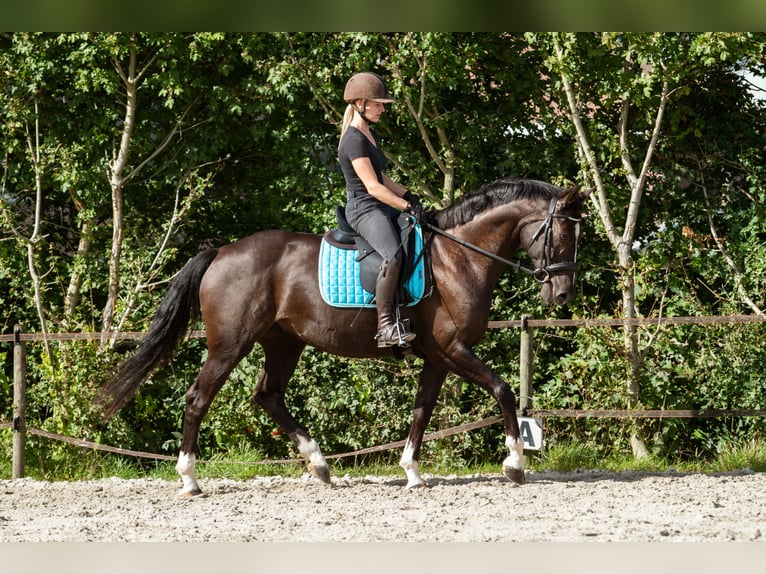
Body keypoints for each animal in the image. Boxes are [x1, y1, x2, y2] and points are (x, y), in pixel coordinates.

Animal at [102, 178, 592, 498]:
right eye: (562, 233)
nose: (563, 294)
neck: (459, 257)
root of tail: (222, 251)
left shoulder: (437, 357)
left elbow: (422, 410)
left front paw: (412, 472)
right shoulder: (454, 350)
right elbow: (504, 390)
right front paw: (515, 462)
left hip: (284, 342)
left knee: (268, 395)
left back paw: (318, 463)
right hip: (229, 344)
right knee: (198, 398)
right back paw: (189, 479)